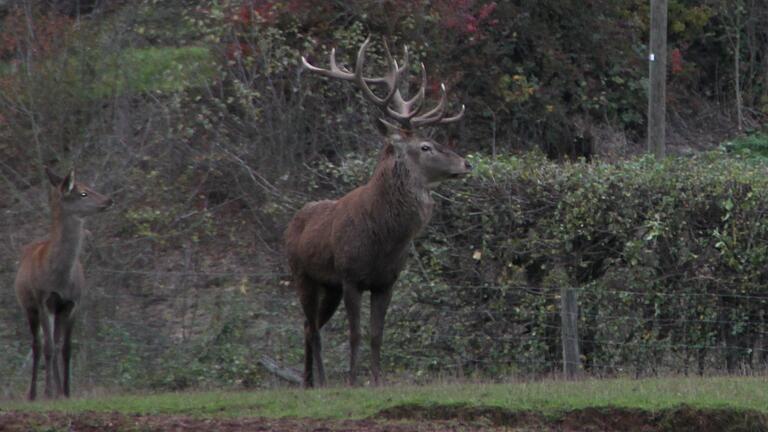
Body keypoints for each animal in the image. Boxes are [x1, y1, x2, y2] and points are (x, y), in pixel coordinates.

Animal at [14, 167, 112, 400]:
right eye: (83, 193)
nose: (109, 200)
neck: (60, 278)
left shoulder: (73, 303)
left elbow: (65, 348)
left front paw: (66, 392)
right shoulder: (43, 300)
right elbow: (48, 347)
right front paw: (48, 392)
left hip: (57, 311)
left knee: (55, 343)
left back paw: (58, 390)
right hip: (28, 306)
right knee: (37, 344)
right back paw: (33, 394)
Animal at [284, 37, 472, 388]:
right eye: (425, 147)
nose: (466, 163)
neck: (383, 239)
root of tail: (292, 221)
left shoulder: (386, 281)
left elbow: (376, 336)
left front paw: (377, 380)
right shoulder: (350, 276)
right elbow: (355, 334)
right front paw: (353, 382)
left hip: (328, 286)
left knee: (309, 326)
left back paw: (312, 381)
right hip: (302, 274)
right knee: (311, 328)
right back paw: (318, 381)